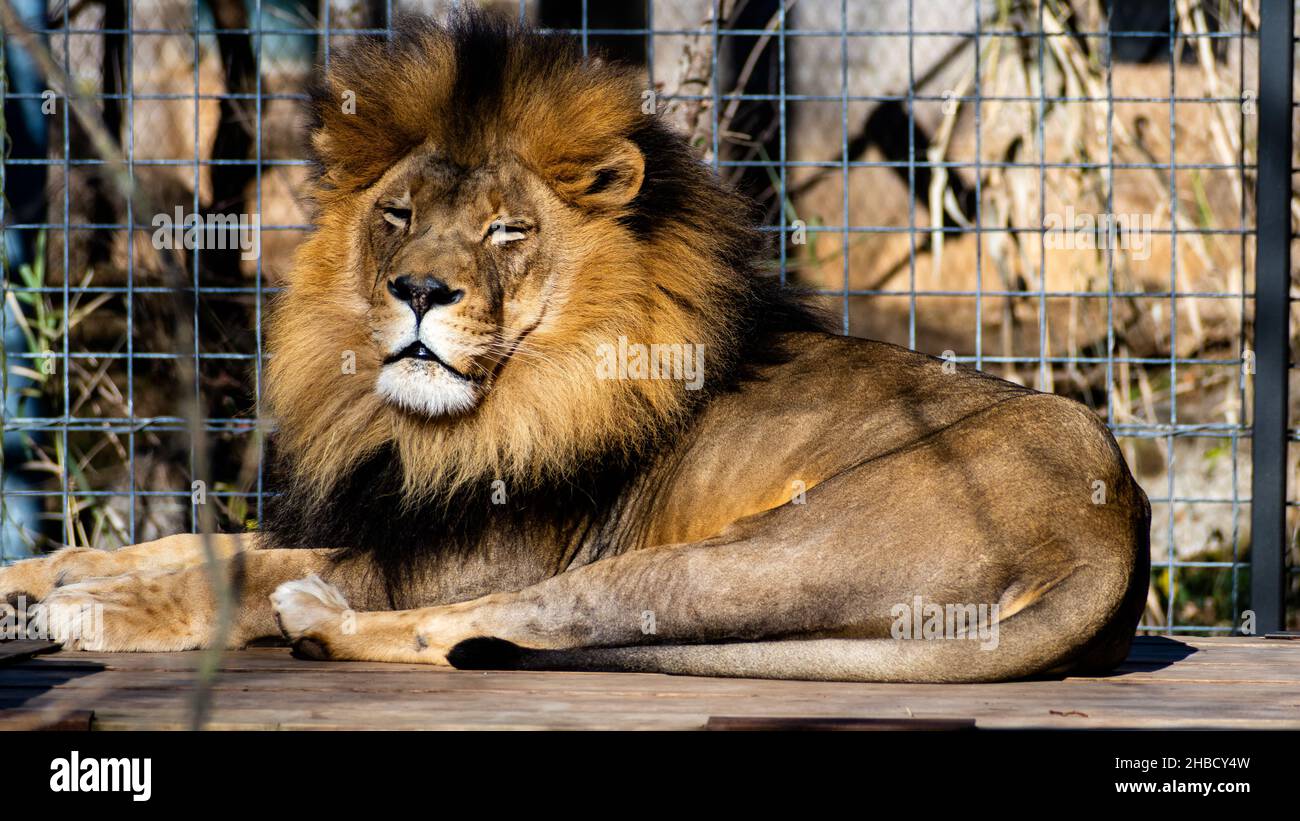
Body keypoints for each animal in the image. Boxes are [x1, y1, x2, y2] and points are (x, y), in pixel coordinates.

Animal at [0, 11, 1149, 683]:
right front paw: (36, 575)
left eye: (507, 230)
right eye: (399, 216)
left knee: (497, 628)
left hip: (715, 556)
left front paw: (83, 611)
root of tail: (1111, 536)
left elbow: (231, 570)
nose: (421, 289)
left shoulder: (474, 548)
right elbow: (176, 543)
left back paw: (317, 620)